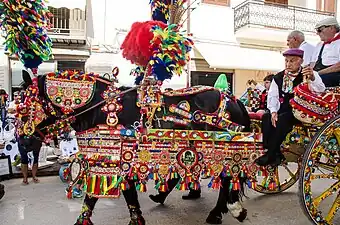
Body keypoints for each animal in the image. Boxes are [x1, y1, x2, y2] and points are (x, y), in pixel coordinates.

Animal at [19, 70, 250, 225]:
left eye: (25, 107)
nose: (22, 142)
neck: (101, 108)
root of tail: (234, 100)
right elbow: (119, 193)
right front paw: (135, 217)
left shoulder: (114, 159)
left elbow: (100, 195)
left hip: (222, 151)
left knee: (227, 178)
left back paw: (223, 211)